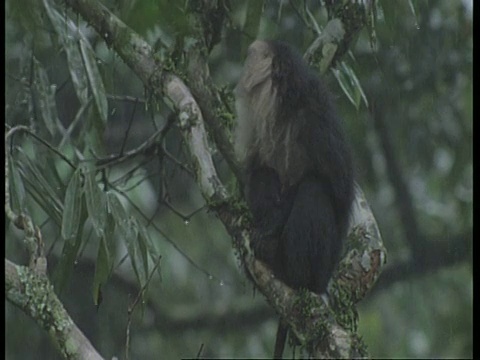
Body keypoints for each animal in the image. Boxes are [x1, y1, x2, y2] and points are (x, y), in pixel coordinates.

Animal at [234, 40, 354, 358]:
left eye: (252, 57)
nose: (242, 69)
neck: (284, 109)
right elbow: (255, 172)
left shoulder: (316, 116)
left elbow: (337, 190)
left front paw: (271, 225)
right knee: (265, 174)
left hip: (322, 268)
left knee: (314, 190)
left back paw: (292, 273)